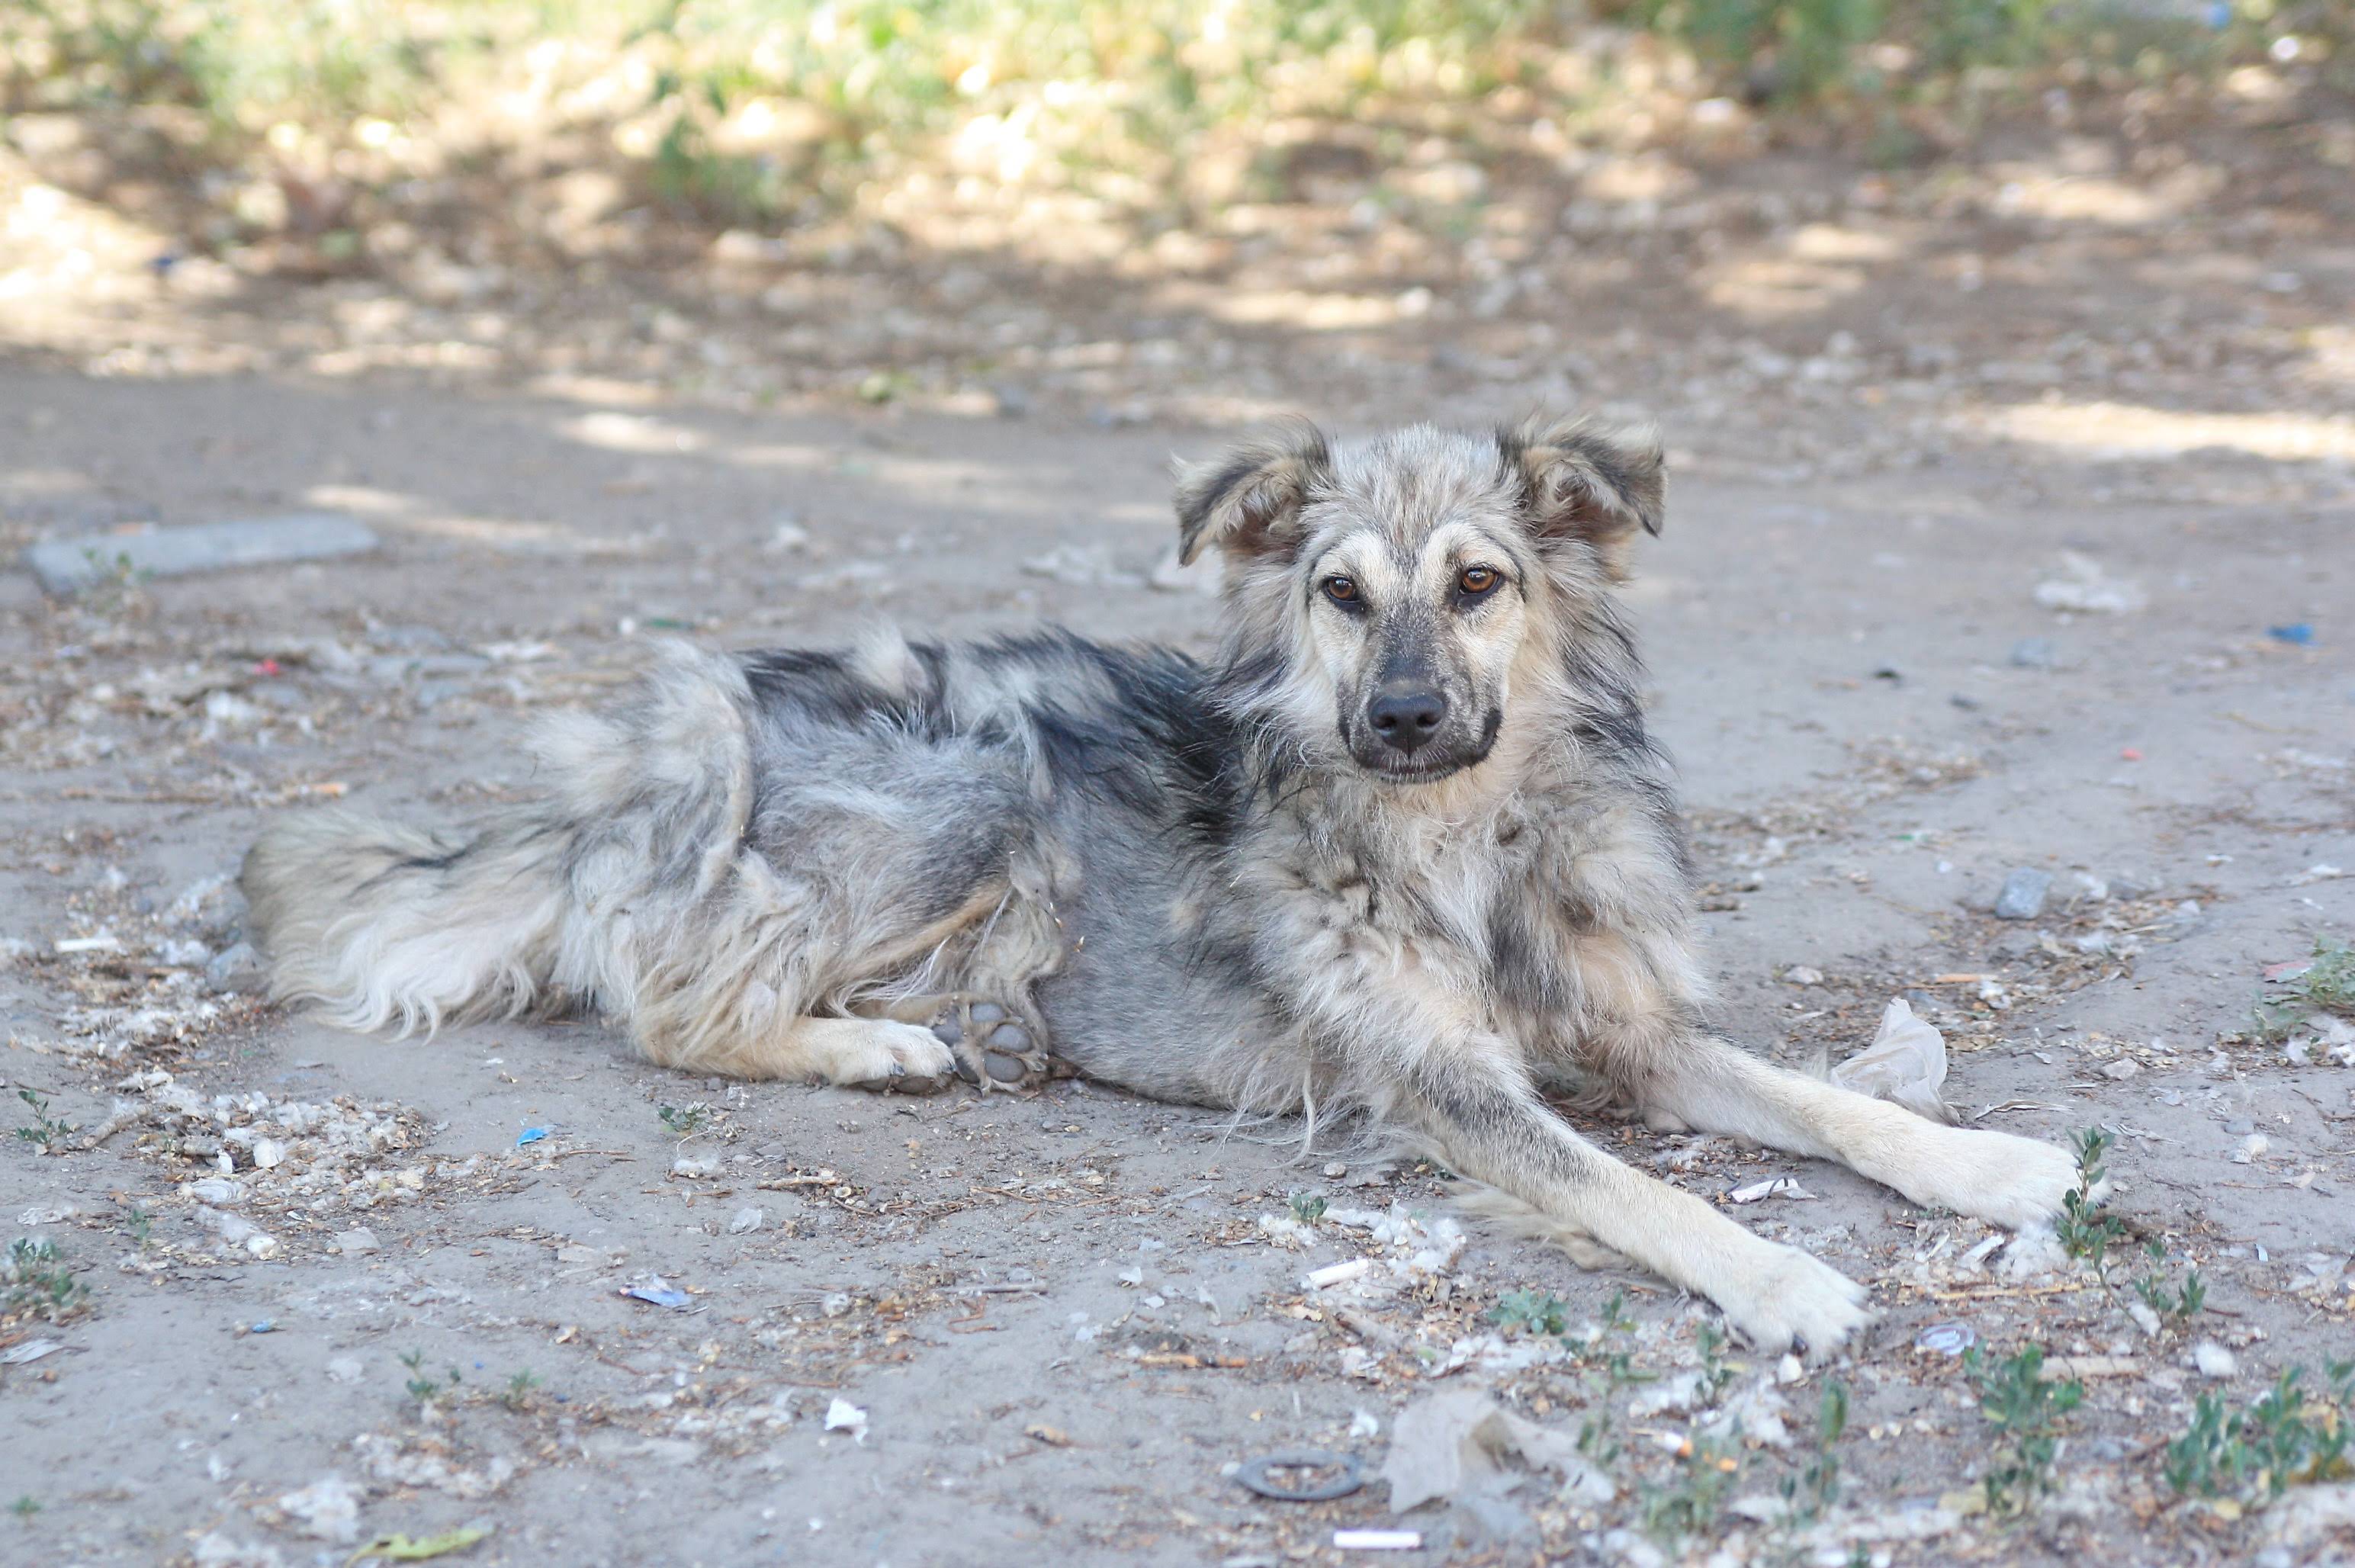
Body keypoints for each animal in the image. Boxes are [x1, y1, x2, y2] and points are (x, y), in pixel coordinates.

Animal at [242, 413, 2081, 1353]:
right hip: (970, 779)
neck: (1460, 836)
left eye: (1477, 583)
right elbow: (1647, 1193)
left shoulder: (1623, 1031)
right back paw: (886, 1043)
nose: (1400, 716)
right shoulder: (1449, 1084)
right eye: (1338, 593)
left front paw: (1987, 1162)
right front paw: (1780, 1279)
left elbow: (1824, 1099)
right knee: (676, 1002)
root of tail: (639, 767)